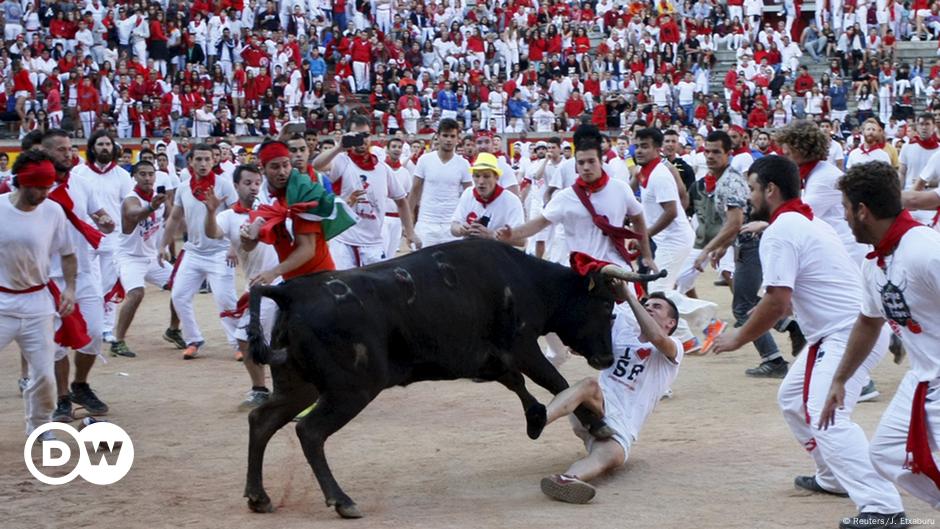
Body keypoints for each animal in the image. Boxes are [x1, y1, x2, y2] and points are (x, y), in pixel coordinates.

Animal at [246, 238, 664, 516]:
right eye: (607, 306)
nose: (606, 357)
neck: (527, 280)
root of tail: (291, 292)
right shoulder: (521, 346)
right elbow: (556, 383)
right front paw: (599, 424)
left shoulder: (487, 360)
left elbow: (518, 384)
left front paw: (535, 418)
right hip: (351, 390)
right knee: (310, 432)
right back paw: (342, 500)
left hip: (298, 387)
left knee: (262, 421)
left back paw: (258, 496)